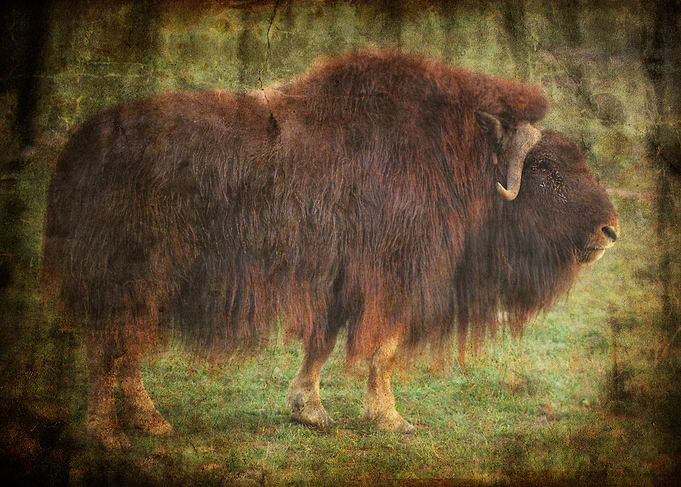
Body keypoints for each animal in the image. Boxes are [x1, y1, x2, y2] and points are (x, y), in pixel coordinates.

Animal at [43, 50, 619, 449]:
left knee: (123, 350)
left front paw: (309, 410)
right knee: (110, 348)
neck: (461, 161)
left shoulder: (340, 280)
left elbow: (322, 342)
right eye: (545, 168)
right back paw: (110, 433)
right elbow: (383, 351)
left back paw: (151, 422)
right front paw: (392, 420)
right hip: (132, 279)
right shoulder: (394, 277)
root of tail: (78, 149)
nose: (612, 231)